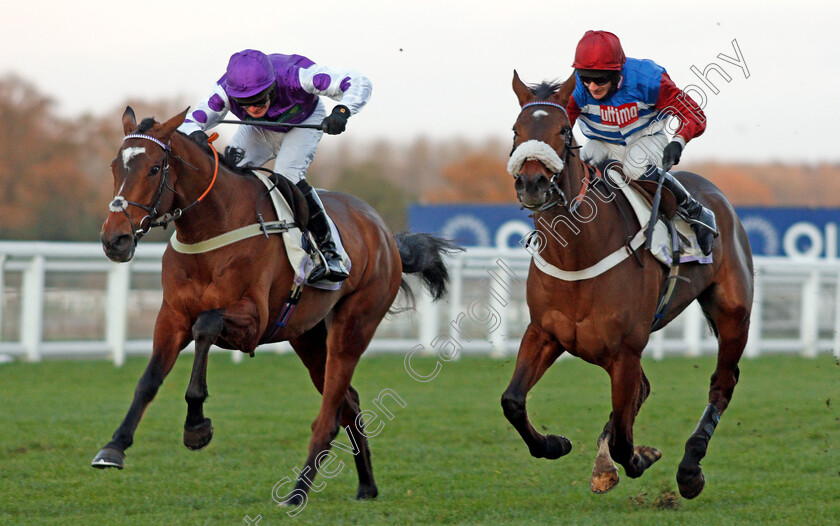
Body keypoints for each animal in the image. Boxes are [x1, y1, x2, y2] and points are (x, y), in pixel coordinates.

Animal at [92, 107, 460, 508]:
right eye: (114, 166)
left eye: (155, 168)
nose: (114, 239)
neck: (212, 228)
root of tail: (384, 233)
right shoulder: (171, 316)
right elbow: (149, 380)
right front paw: (114, 447)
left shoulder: (253, 321)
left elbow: (205, 325)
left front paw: (196, 426)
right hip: (309, 337)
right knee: (349, 402)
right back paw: (366, 485)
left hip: (354, 325)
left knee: (330, 413)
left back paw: (298, 492)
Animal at [498, 72, 756, 502]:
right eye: (516, 130)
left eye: (563, 130)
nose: (532, 183)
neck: (577, 254)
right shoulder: (544, 333)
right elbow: (513, 402)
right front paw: (555, 444)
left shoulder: (624, 352)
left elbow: (623, 439)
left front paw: (639, 458)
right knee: (646, 392)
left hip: (733, 312)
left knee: (722, 384)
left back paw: (690, 469)